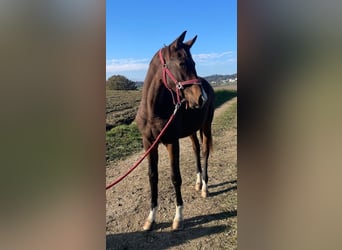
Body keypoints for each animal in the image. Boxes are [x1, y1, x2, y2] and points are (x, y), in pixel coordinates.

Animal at [136, 30, 214, 230]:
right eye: (182, 63)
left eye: (194, 64)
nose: (201, 98)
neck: (153, 110)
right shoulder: (149, 143)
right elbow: (152, 176)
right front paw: (151, 218)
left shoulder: (172, 142)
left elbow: (175, 177)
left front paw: (178, 217)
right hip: (192, 130)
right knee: (195, 149)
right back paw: (198, 182)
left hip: (206, 126)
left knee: (204, 151)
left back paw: (204, 187)